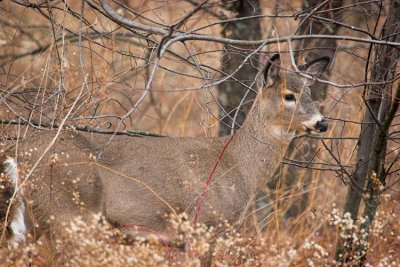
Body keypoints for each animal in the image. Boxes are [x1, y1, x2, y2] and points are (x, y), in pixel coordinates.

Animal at [0, 54, 328, 253]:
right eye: (289, 95)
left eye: (311, 93)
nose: (322, 122)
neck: (237, 166)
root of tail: (16, 154)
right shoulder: (204, 225)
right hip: (67, 214)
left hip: (30, 222)